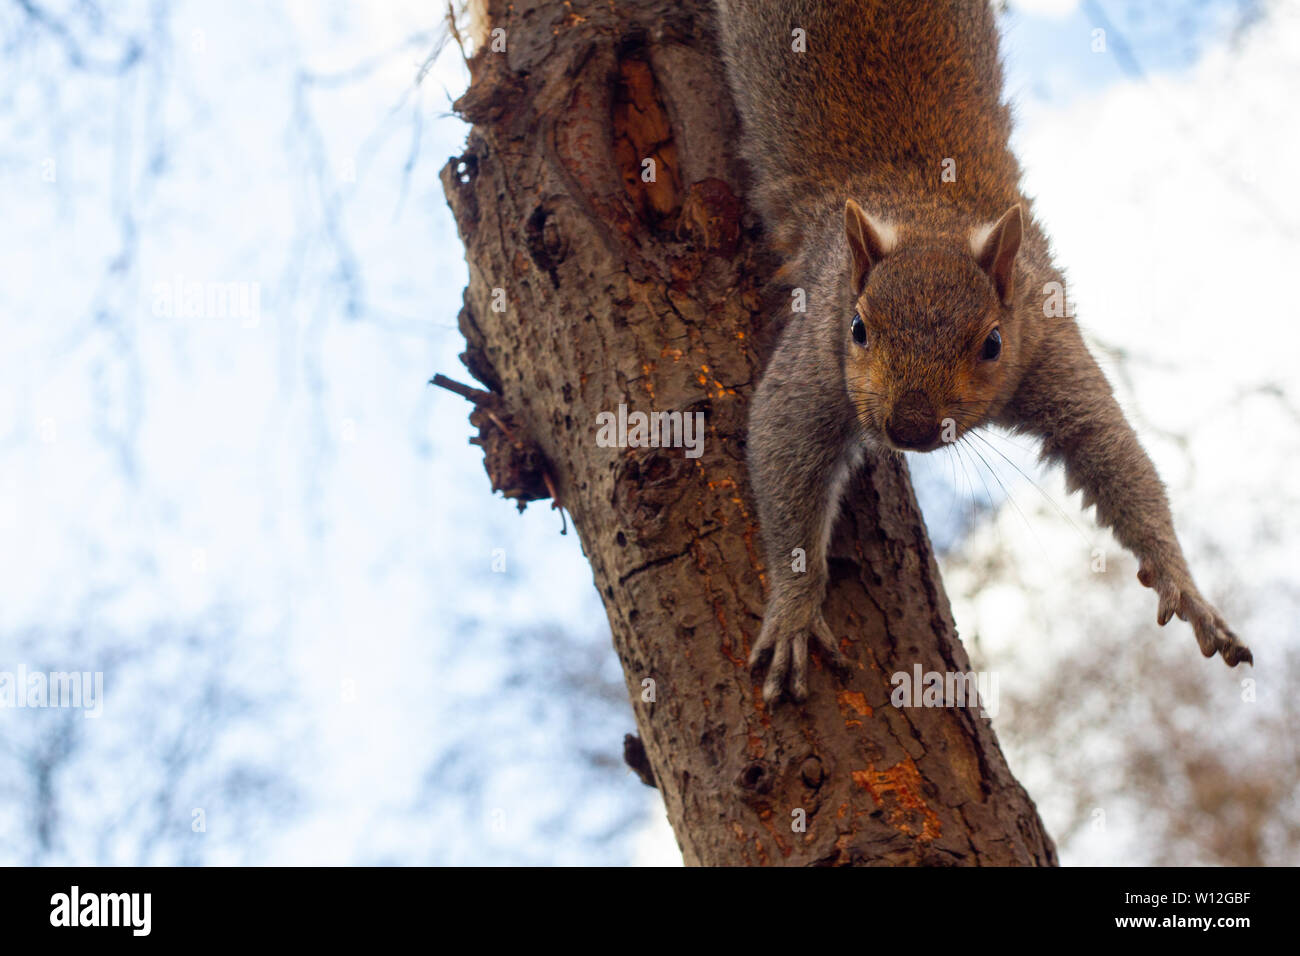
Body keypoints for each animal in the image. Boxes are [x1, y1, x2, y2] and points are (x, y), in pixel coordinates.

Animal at [714, 0, 1254, 703]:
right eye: (858, 329)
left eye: (993, 343)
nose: (910, 427)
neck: (928, 213)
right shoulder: (816, 354)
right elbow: (784, 447)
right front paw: (795, 609)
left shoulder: (1046, 341)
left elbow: (1107, 445)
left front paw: (1180, 581)